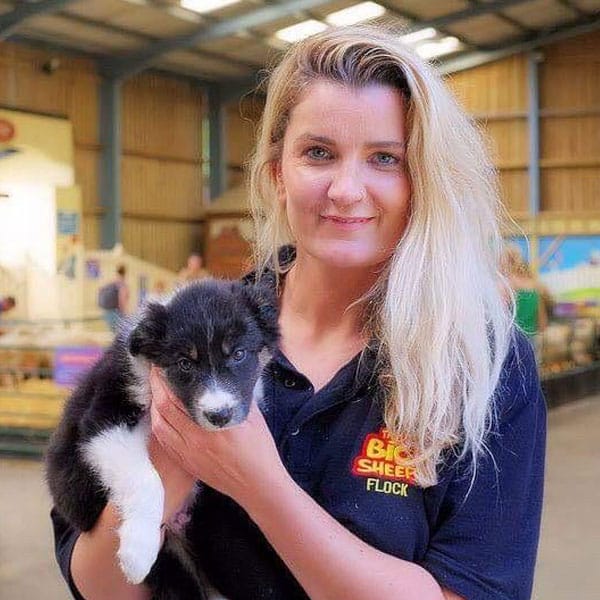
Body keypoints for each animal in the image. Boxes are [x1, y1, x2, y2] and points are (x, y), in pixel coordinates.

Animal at [45, 278, 278, 596]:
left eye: (239, 354)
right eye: (184, 364)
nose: (219, 415)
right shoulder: (101, 423)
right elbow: (146, 479)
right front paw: (137, 553)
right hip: (173, 564)